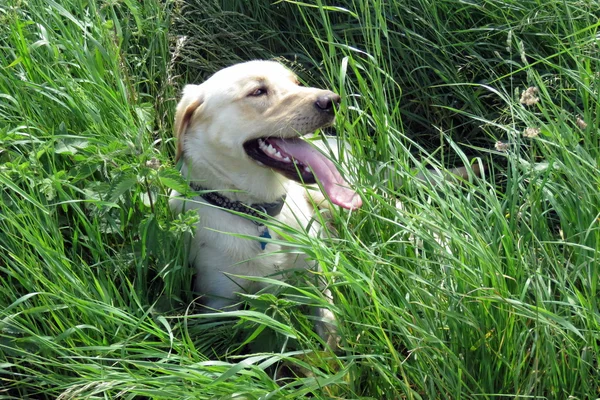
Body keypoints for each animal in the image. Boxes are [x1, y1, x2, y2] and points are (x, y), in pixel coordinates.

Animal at [168, 59, 360, 344]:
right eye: (258, 92)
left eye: (296, 83)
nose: (332, 100)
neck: (258, 213)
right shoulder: (217, 307)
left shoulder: (316, 280)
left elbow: (329, 326)